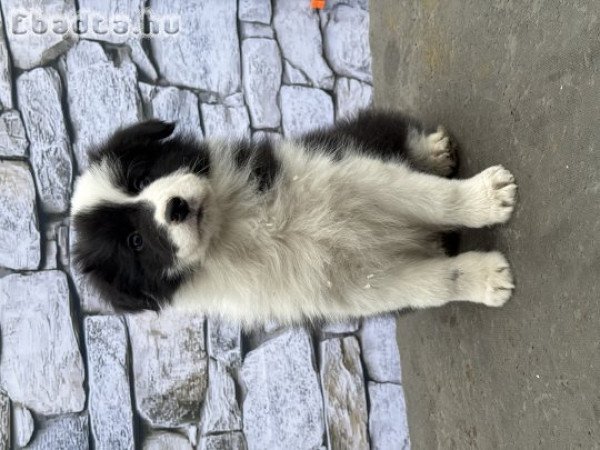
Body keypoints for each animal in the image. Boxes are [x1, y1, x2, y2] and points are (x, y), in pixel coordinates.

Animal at [71, 109, 516, 326]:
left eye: (140, 176)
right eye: (135, 242)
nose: (175, 207)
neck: (236, 227)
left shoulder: (353, 174)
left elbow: (431, 197)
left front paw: (484, 198)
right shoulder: (352, 287)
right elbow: (430, 285)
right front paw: (486, 279)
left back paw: (433, 151)